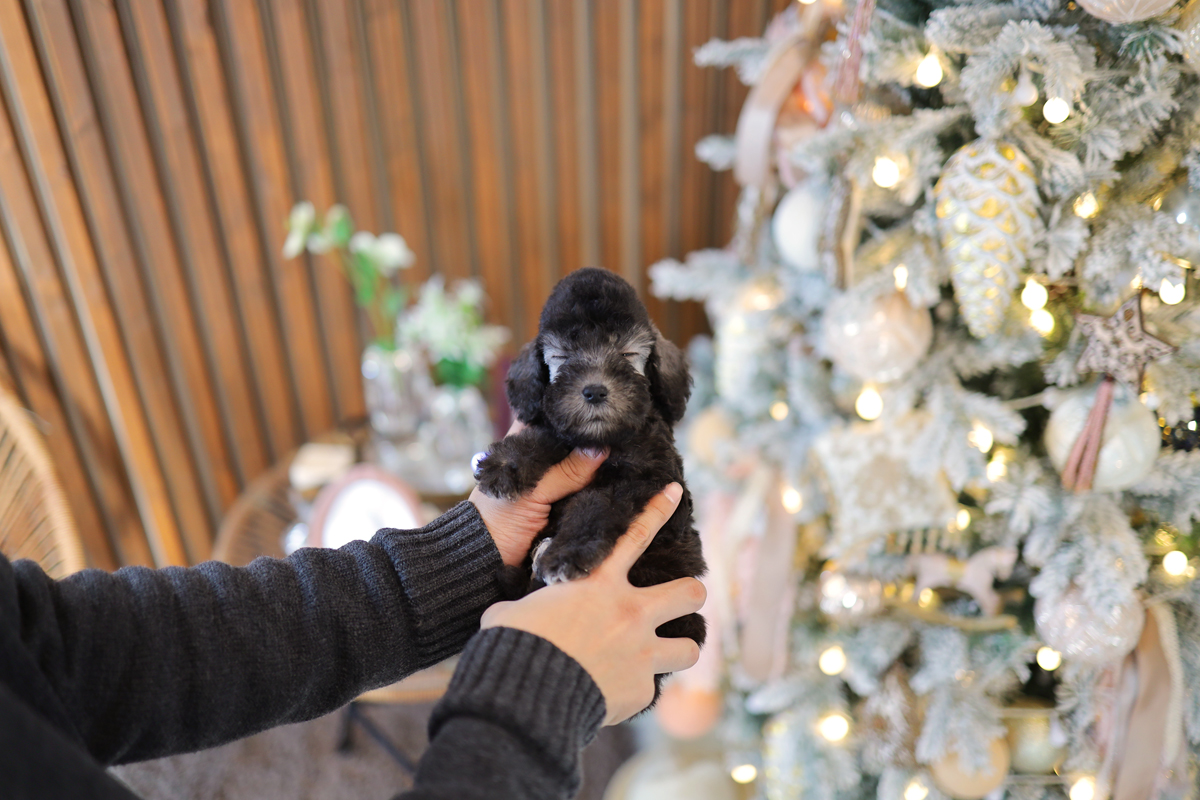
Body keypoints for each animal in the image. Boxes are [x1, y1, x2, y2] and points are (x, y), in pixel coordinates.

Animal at [472, 268, 705, 671]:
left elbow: (594, 508)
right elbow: (545, 436)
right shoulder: (562, 429)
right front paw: (504, 464)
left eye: (627, 355)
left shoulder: (638, 479)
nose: (594, 391)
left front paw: (569, 552)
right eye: (562, 357)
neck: (604, 438)